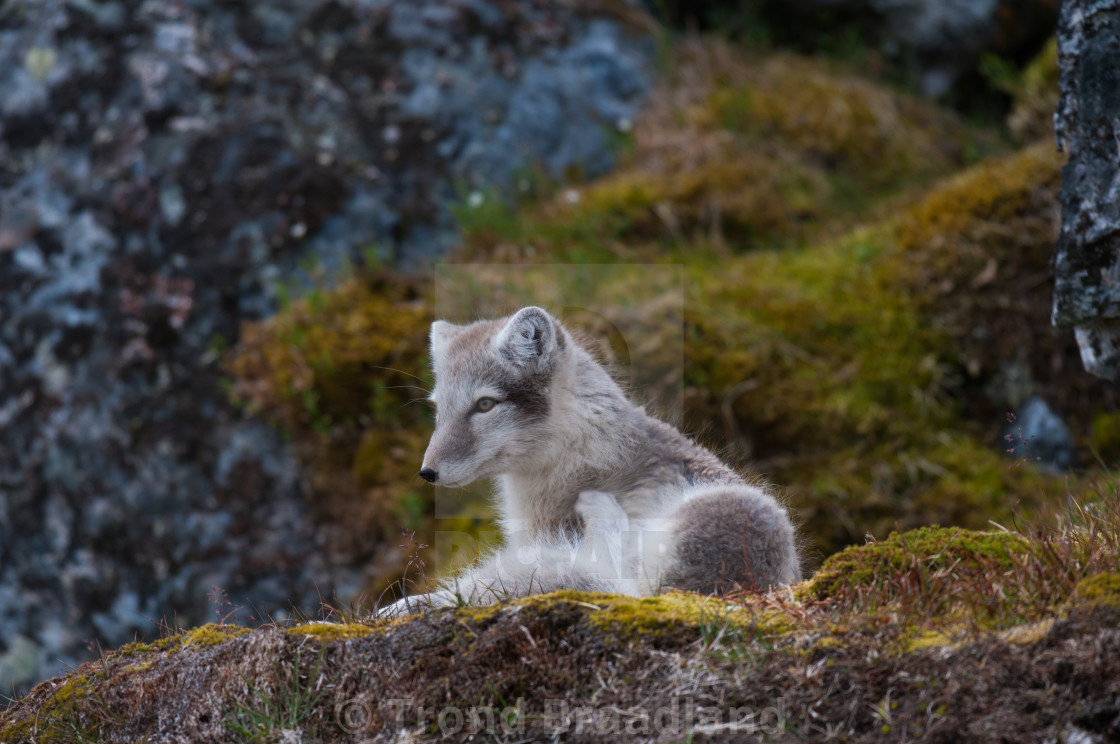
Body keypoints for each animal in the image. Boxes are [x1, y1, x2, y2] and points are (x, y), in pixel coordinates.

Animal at [383, 304, 797, 614]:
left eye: (485, 404)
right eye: (438, 408)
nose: (427, 473)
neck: (582, 450)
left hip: (730, 514)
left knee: (622, 584)